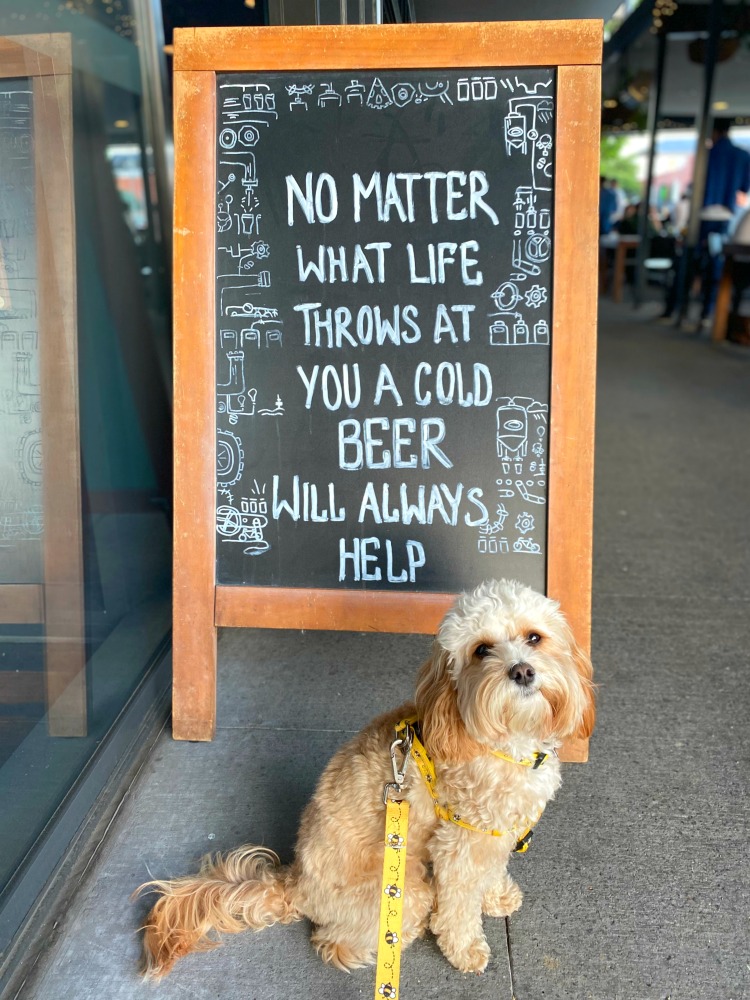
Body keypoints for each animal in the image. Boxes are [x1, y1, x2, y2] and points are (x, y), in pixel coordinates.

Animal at [140, 580, 592, 976]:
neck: (504, 738)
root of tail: (294, 882)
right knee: (334, 941)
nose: (522, 671)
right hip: (406, 891)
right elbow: (460, 904)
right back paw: (388, 942)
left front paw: (496, 896)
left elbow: (492, 869)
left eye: (534, 637)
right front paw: (465, 949)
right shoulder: (460, 842)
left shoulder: (494, 831)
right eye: (481, 650)